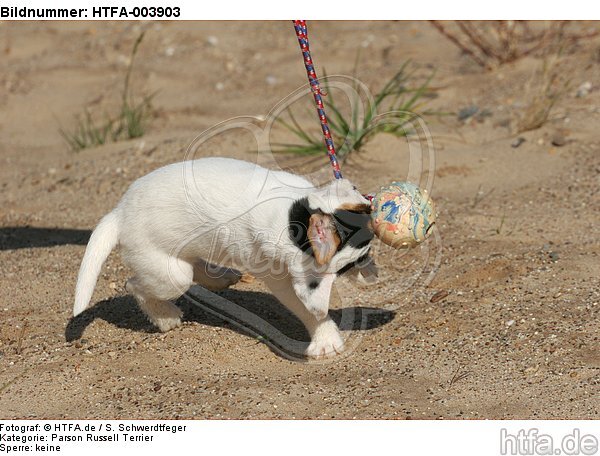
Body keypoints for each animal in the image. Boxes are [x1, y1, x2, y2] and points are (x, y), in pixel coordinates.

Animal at [74, 159, 376, 358]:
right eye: (356, 257)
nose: (356, 188)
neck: (288, 221)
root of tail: (118, 213)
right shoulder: (279, 279)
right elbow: (308, 309)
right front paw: (326, 339)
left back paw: (220, 278)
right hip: (169, 275)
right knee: (135, 285)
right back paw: (165, 316)